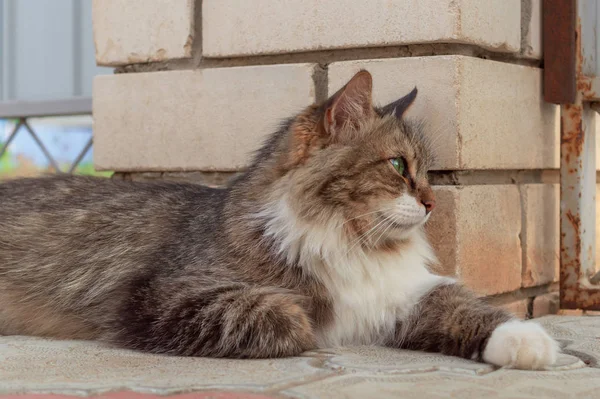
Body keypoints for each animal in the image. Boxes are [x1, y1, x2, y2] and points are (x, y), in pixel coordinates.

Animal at [0, 70, 556, 370]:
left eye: (428, 173)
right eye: (399, 166)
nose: (432, 204)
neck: (351, 242)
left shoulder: (404, 295)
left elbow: (473, 310)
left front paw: (527, 342)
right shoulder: (161, 296)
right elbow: (291, 320)